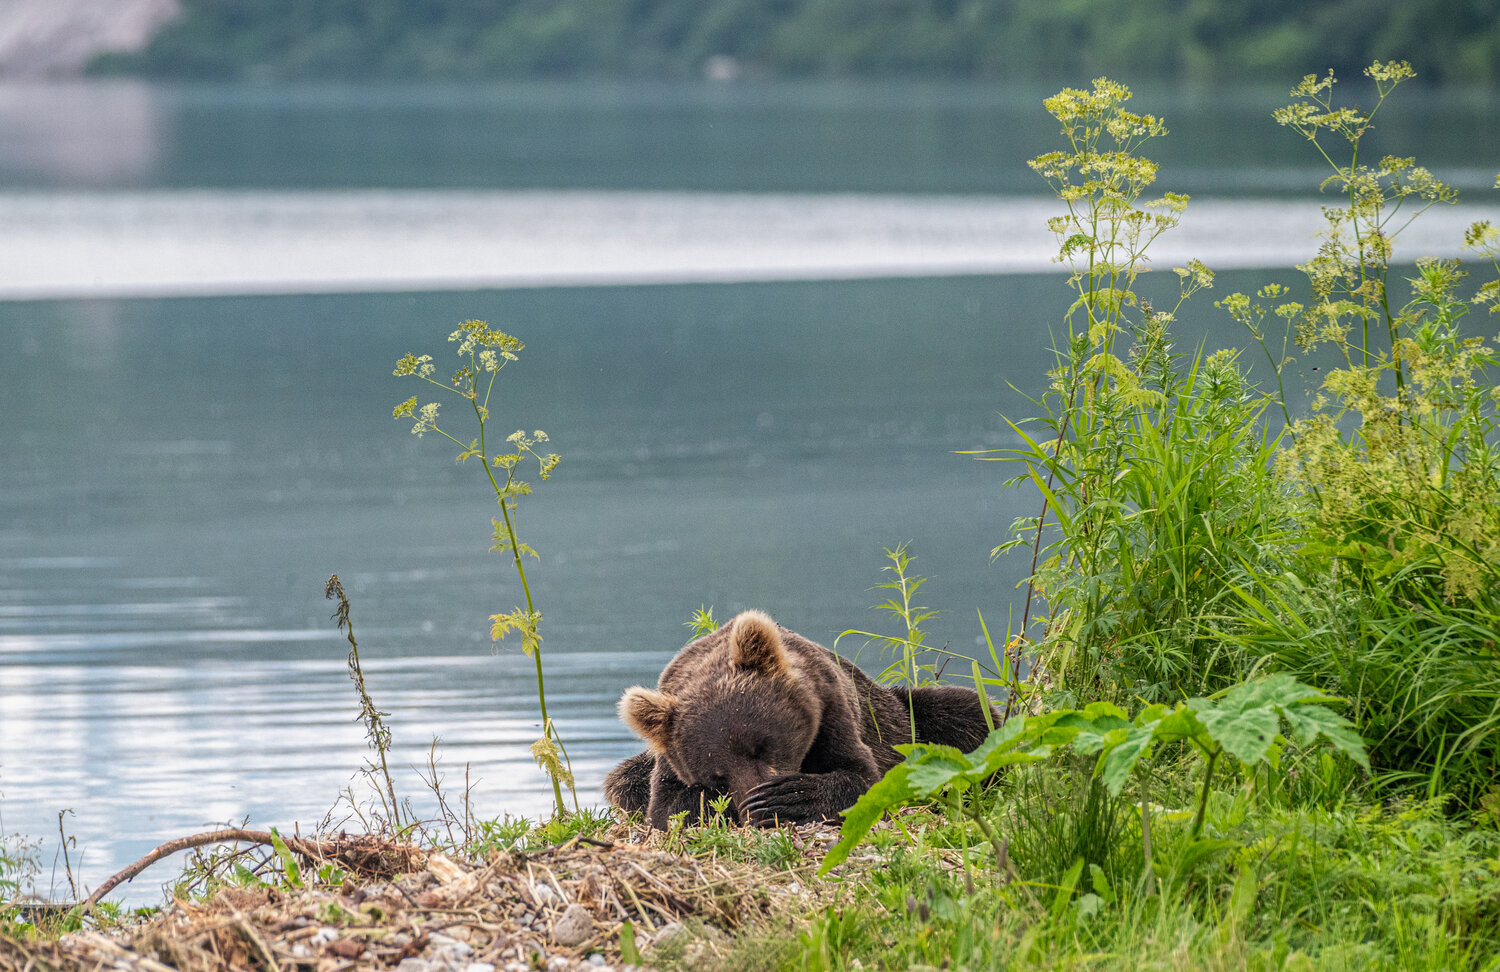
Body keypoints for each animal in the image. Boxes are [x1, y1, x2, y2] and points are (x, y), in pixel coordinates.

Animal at [603, 609, 1000, 828]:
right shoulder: (667, 759)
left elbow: (861, 778)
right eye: (716, 776)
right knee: (624, 778)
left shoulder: (833, 711)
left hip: (904, 718)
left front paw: (785, 798)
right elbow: (667, 808)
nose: (754, 807)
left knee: (966, 715)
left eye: (762, 745)